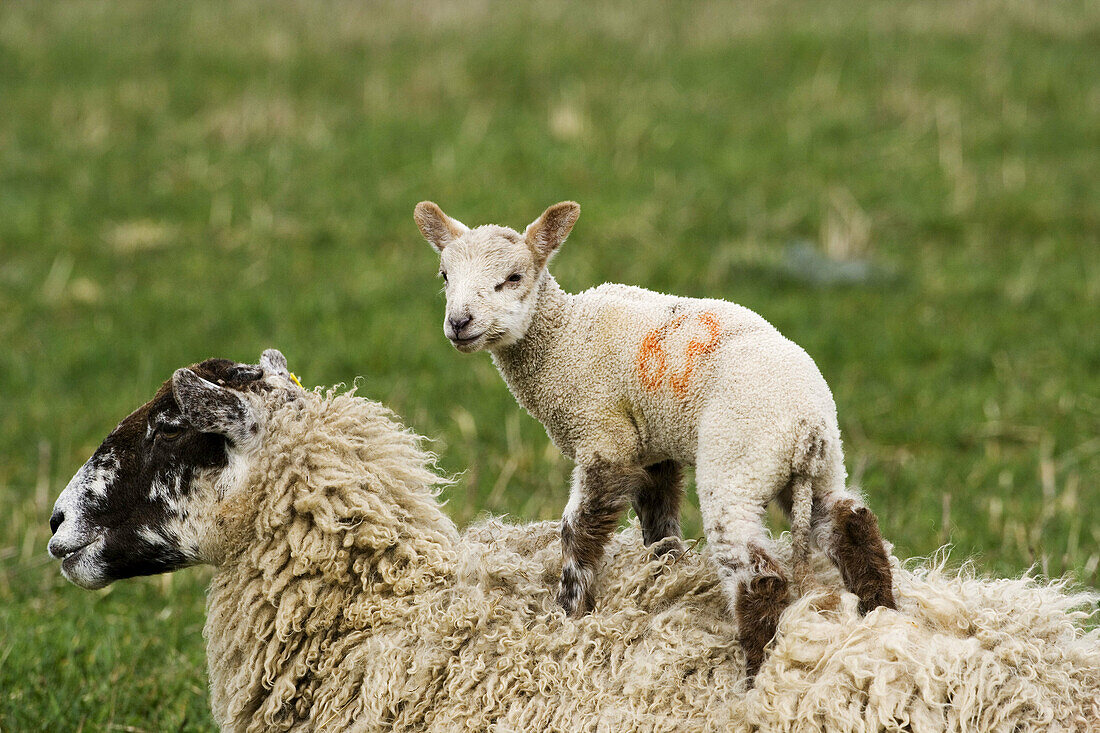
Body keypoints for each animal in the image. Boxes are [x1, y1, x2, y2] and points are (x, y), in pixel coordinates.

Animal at [415, 198, 897, 673]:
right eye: (444, 276)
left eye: (513, 278)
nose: (459, 322)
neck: (563, 338)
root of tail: (807, 427)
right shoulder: (650, 447)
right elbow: (659, 523)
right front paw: (664, 575)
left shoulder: (603, 437)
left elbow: (577, 531)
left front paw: (569, 612)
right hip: (821, 467)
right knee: (852, 526)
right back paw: (880, 614)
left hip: (738, 461)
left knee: (760, 576)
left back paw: (755, 671)